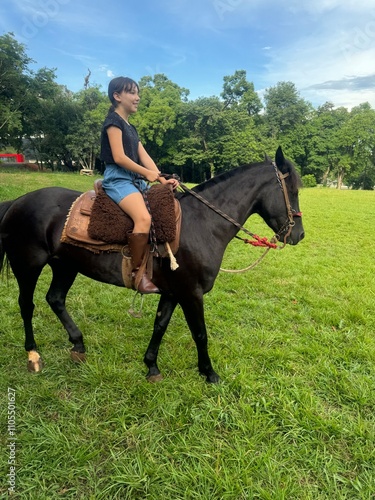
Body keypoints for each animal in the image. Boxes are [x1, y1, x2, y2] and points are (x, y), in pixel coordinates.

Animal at [0, 146, 304, 380]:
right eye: (293, 190)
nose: (299, 235)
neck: (202, 223)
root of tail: (18, 201)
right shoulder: (191, 293)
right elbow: (200, 333)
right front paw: (209, 373)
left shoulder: (172, 292)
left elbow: (160, 325)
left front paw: (151, 366)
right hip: (27, 266)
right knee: (27, 305)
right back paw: (33, 355)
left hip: (65, 266)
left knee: (55, 299)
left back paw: (78, 344)